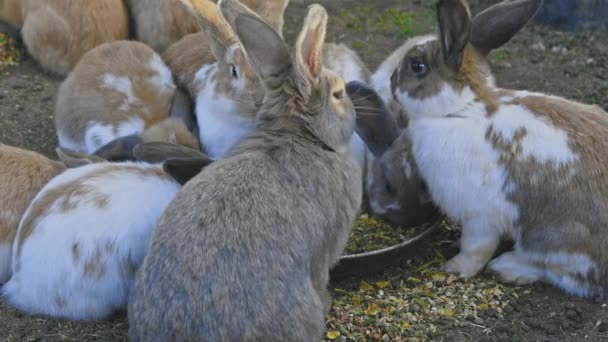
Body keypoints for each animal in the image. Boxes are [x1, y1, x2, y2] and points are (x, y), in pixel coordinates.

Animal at [378, 0, 608, 296]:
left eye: (417, 66)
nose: (392, 81)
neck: (460, 109)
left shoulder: (478, 214)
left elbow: (476, 247)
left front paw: (454, 268)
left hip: (556, 238)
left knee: (569, 276)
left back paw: (508, 267)